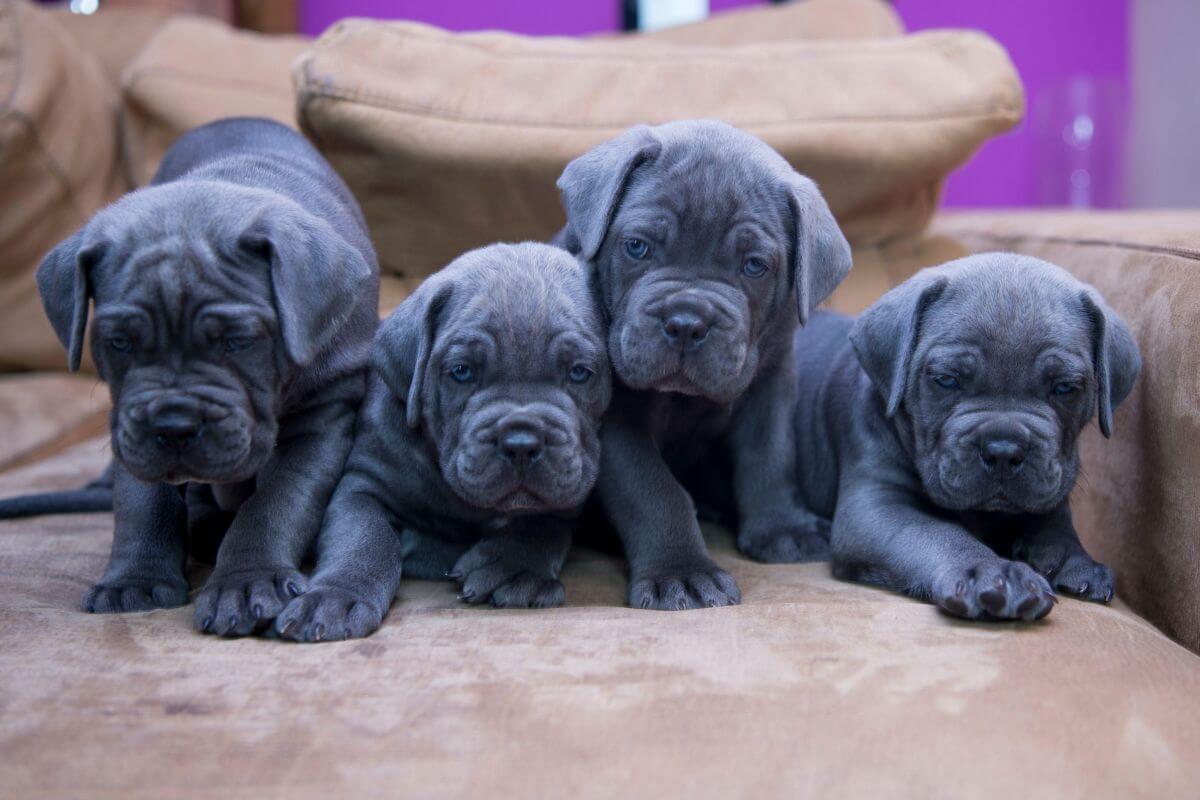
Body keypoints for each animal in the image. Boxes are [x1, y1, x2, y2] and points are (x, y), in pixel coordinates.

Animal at [34, 115, 379, 633]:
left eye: (238, 341)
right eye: (119, 343)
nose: (174, 426)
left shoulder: (324, 415)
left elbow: (276, 502)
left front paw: (247, 581)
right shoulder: (131, 421)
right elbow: (141, 500)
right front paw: (134, 579)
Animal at [272, 241, 609, 642]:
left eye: (580, 372)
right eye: (461, 372)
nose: (521, 443)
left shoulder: (565, 491)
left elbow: (543, 524)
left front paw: (514, 566)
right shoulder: (362, 485)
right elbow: (364, 539)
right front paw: (337, 596)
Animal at [556, 118, 859, 609]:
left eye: (754, 265)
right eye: (636, 247)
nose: (686, 323)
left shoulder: (770, 384)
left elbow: (770, 457)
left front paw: (783, 528)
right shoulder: (615, 418)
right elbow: (653, 490)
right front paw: (681, 572)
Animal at [792, 253, 1137, 623]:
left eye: (1064, 388)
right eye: (946, 380)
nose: (1003, 451)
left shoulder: (1050, 485)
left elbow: (1054, 522)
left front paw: (1076, 561)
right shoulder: (874, 506)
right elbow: (937, 533)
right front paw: (990, 573)